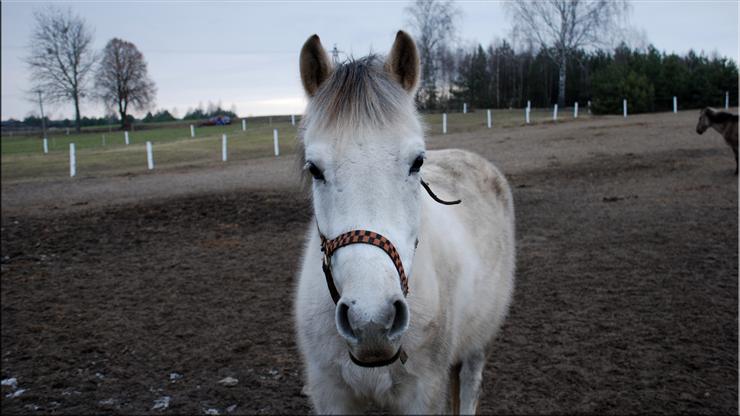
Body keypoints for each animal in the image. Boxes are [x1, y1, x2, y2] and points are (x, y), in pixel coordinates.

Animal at [294, 30, 516, 414]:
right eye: (314, 169)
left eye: (417, 162)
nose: (371, 321)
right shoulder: (330, 393)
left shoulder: (423, 394)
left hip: (478, 344)